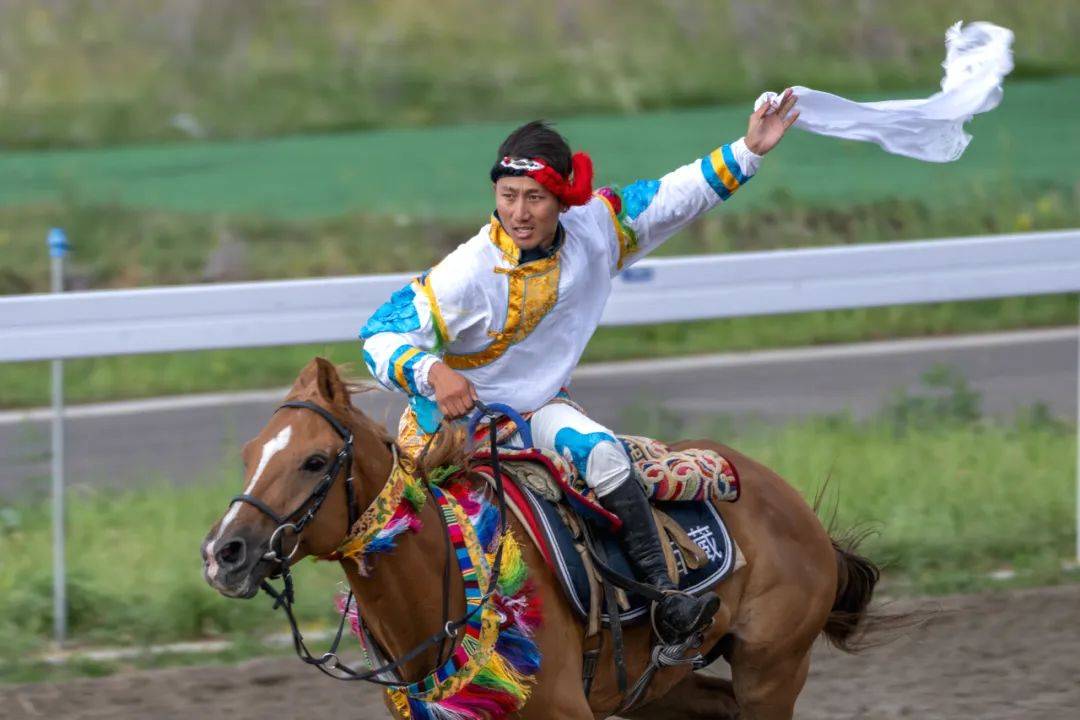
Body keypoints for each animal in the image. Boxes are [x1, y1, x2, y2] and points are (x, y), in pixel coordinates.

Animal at [200, 360, 876, 720]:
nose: (222, 553)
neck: (449, 588)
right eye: (249, 455)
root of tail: (789, 503)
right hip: (663, 688)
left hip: (772, 669)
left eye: (315, 461)